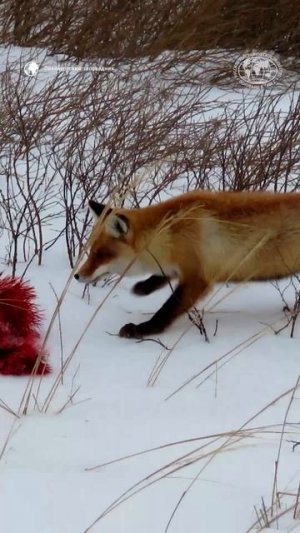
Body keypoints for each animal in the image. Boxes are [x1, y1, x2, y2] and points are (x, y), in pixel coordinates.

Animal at [74, 191, 300, 336]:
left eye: (101, 255)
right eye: (90, 251)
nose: (77, 275)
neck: (170, 234)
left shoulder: (198, 278)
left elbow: (167, 309)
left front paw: (143, 329)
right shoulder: (179, 265)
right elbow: (162, 275)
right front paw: (142, 287)